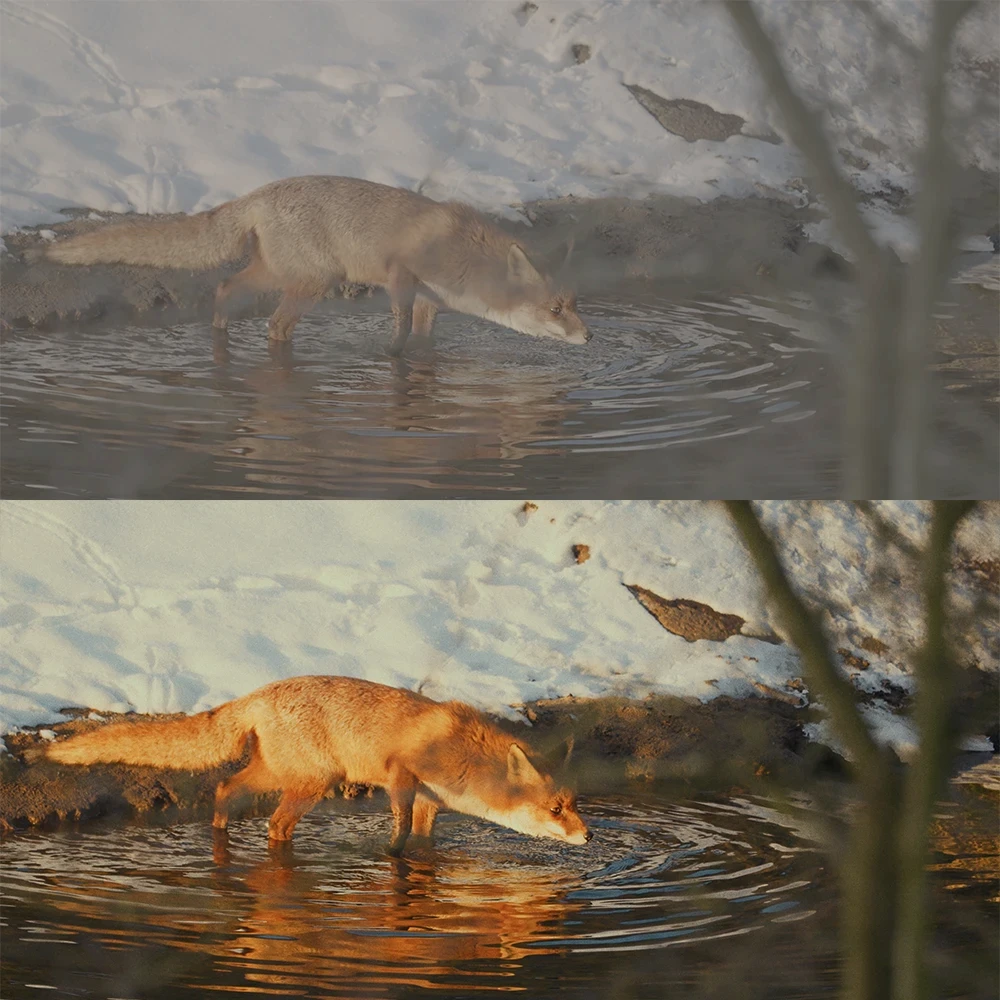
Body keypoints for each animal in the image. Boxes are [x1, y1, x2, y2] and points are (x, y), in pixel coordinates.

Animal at [34, 175, 590, 356]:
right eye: (555, 310)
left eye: (575, 304)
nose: (589, 337)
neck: (459, 254)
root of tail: (259, 194)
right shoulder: (401, 275)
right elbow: (398, 328)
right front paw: (390, 357)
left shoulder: (432, 299)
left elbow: (423, 337)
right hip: (316, 282)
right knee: (276, 327)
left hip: (278, 273)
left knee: (225, 288)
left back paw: (219, 335)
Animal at [39, 675, 591, 855]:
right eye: (556, 810)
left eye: (574, 804)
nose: (588, 836)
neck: (461, 755)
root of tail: (258, 694)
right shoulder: (401, 773)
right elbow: (398, 827)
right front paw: (390, 855)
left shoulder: (432, 800)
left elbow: (422, 837)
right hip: (316, 781)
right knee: (275, 826)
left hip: (278, 773)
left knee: (224, 789)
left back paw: (219, 836)